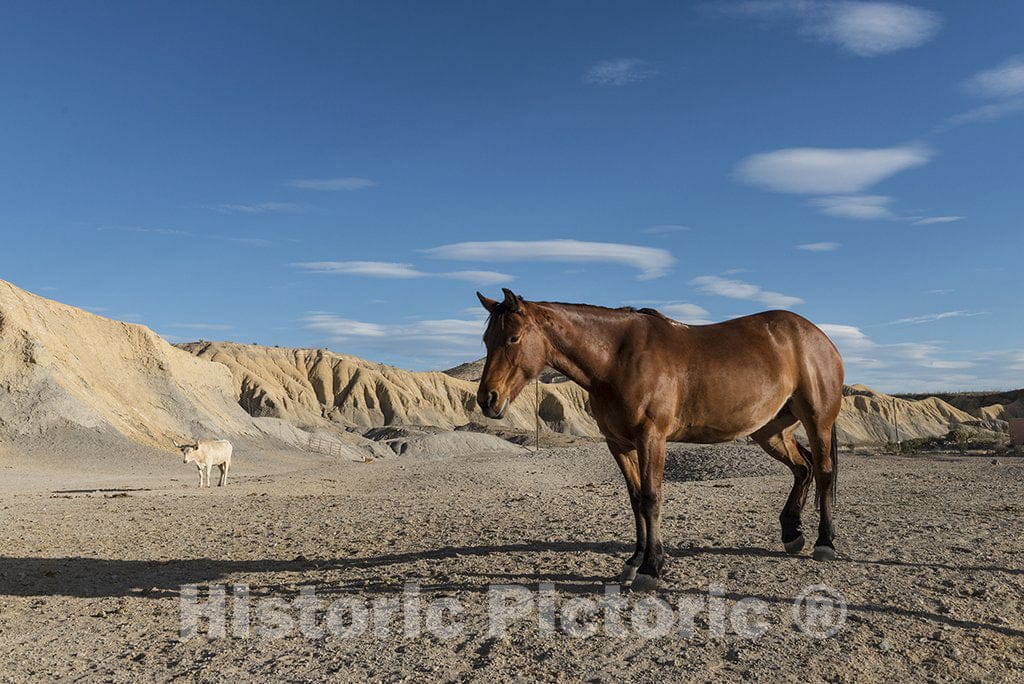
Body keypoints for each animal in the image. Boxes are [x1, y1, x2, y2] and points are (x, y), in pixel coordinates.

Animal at [475, 286, 843, 589]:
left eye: (513, 338)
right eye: (486, 340)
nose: (487, 399)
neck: (617, 359)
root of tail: (819, 338)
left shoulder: (651, 438)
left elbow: (652, 498)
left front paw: (651, 569)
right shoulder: (619, 445)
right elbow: (636, 499)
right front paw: (635, 561)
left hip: (817, 421)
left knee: (823, 471)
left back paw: (825, 543)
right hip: (771, 431)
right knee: (803, 468)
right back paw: (792, 534)